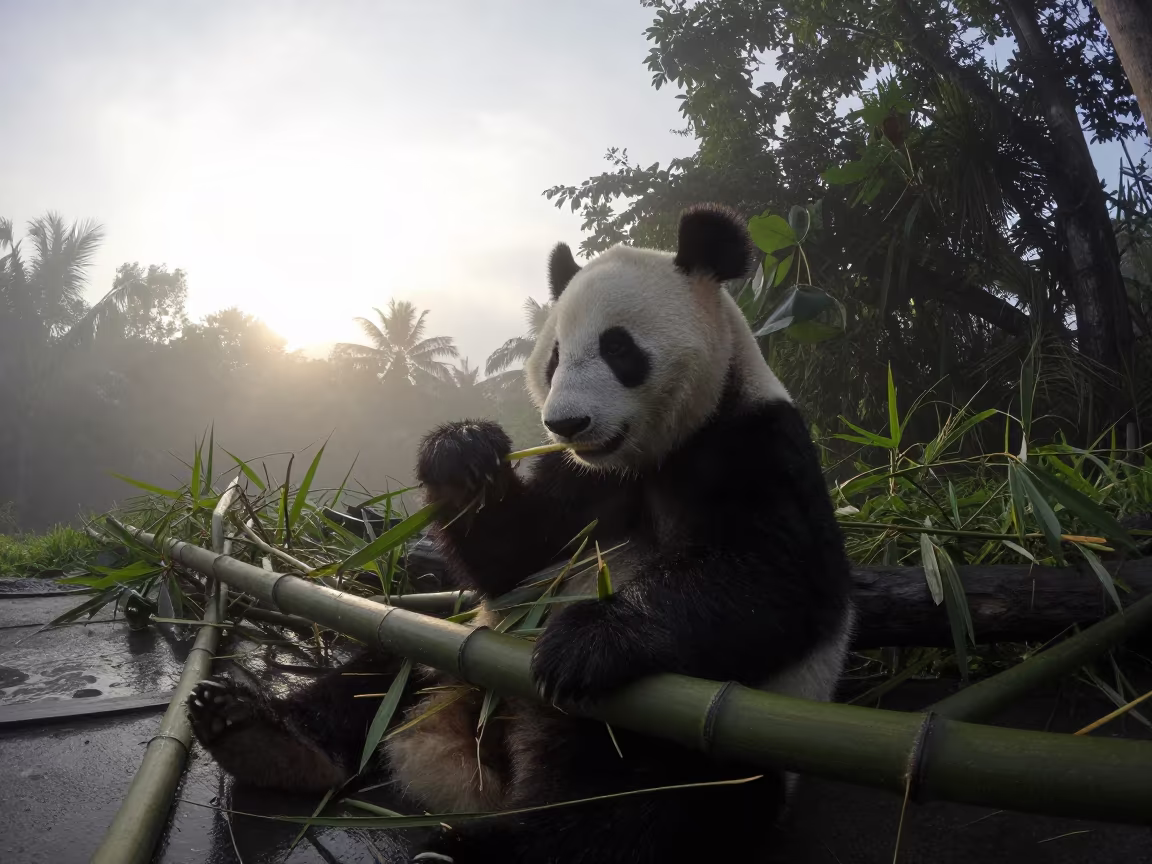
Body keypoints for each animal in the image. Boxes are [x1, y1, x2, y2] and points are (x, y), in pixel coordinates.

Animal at [187, 204, 854, 863]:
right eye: (554, 357)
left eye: (619, 349)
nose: (567, 423)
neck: (647, 456)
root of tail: (484, 762)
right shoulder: (583, 478)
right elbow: (517, 554)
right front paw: (461, 452)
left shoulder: (755, 442)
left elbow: (774, 579)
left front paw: (584, 641)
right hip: (449, 651)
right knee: (376, 674)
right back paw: (256, 733)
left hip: (686, 742)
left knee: (626, 814)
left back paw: (460, 853)